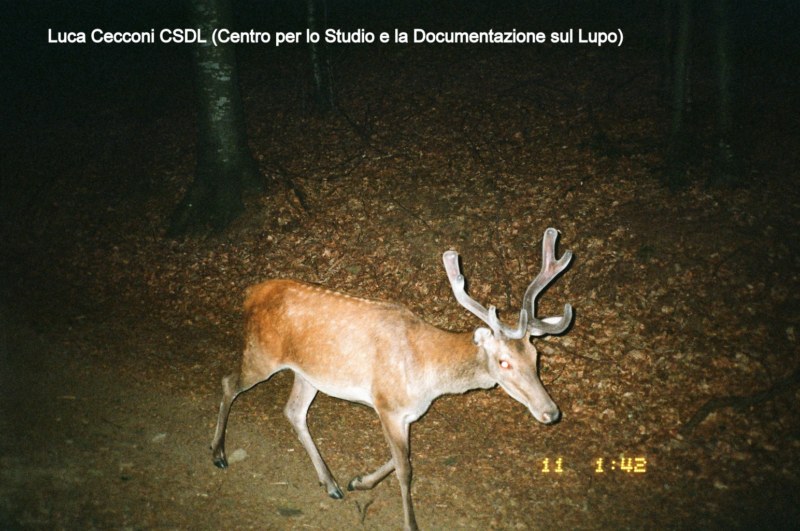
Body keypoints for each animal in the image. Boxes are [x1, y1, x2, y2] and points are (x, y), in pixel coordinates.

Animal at [210, 227, 573, 531]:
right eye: (504, 362)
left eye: (535, 356)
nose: (551, 412)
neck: (428, 377)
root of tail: (252, 293)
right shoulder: (385, 403)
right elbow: (405, 468)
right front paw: (410, 524)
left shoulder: (409, 413)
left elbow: (404, 457)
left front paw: (359, 481)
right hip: (262, 354)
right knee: (229, 382)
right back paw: (218, 453)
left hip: (308, 373)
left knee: (294, 412)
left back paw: (332, 484)